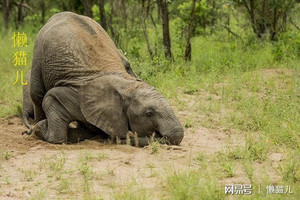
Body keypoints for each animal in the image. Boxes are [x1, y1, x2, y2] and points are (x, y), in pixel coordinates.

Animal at [28, 12, 183, 146]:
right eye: (149, 113)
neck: (126, 85)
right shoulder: (76, 95)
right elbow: (52, 98)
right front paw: (41, 128)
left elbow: (89, 130)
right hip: (38, 54)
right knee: (37, 94)